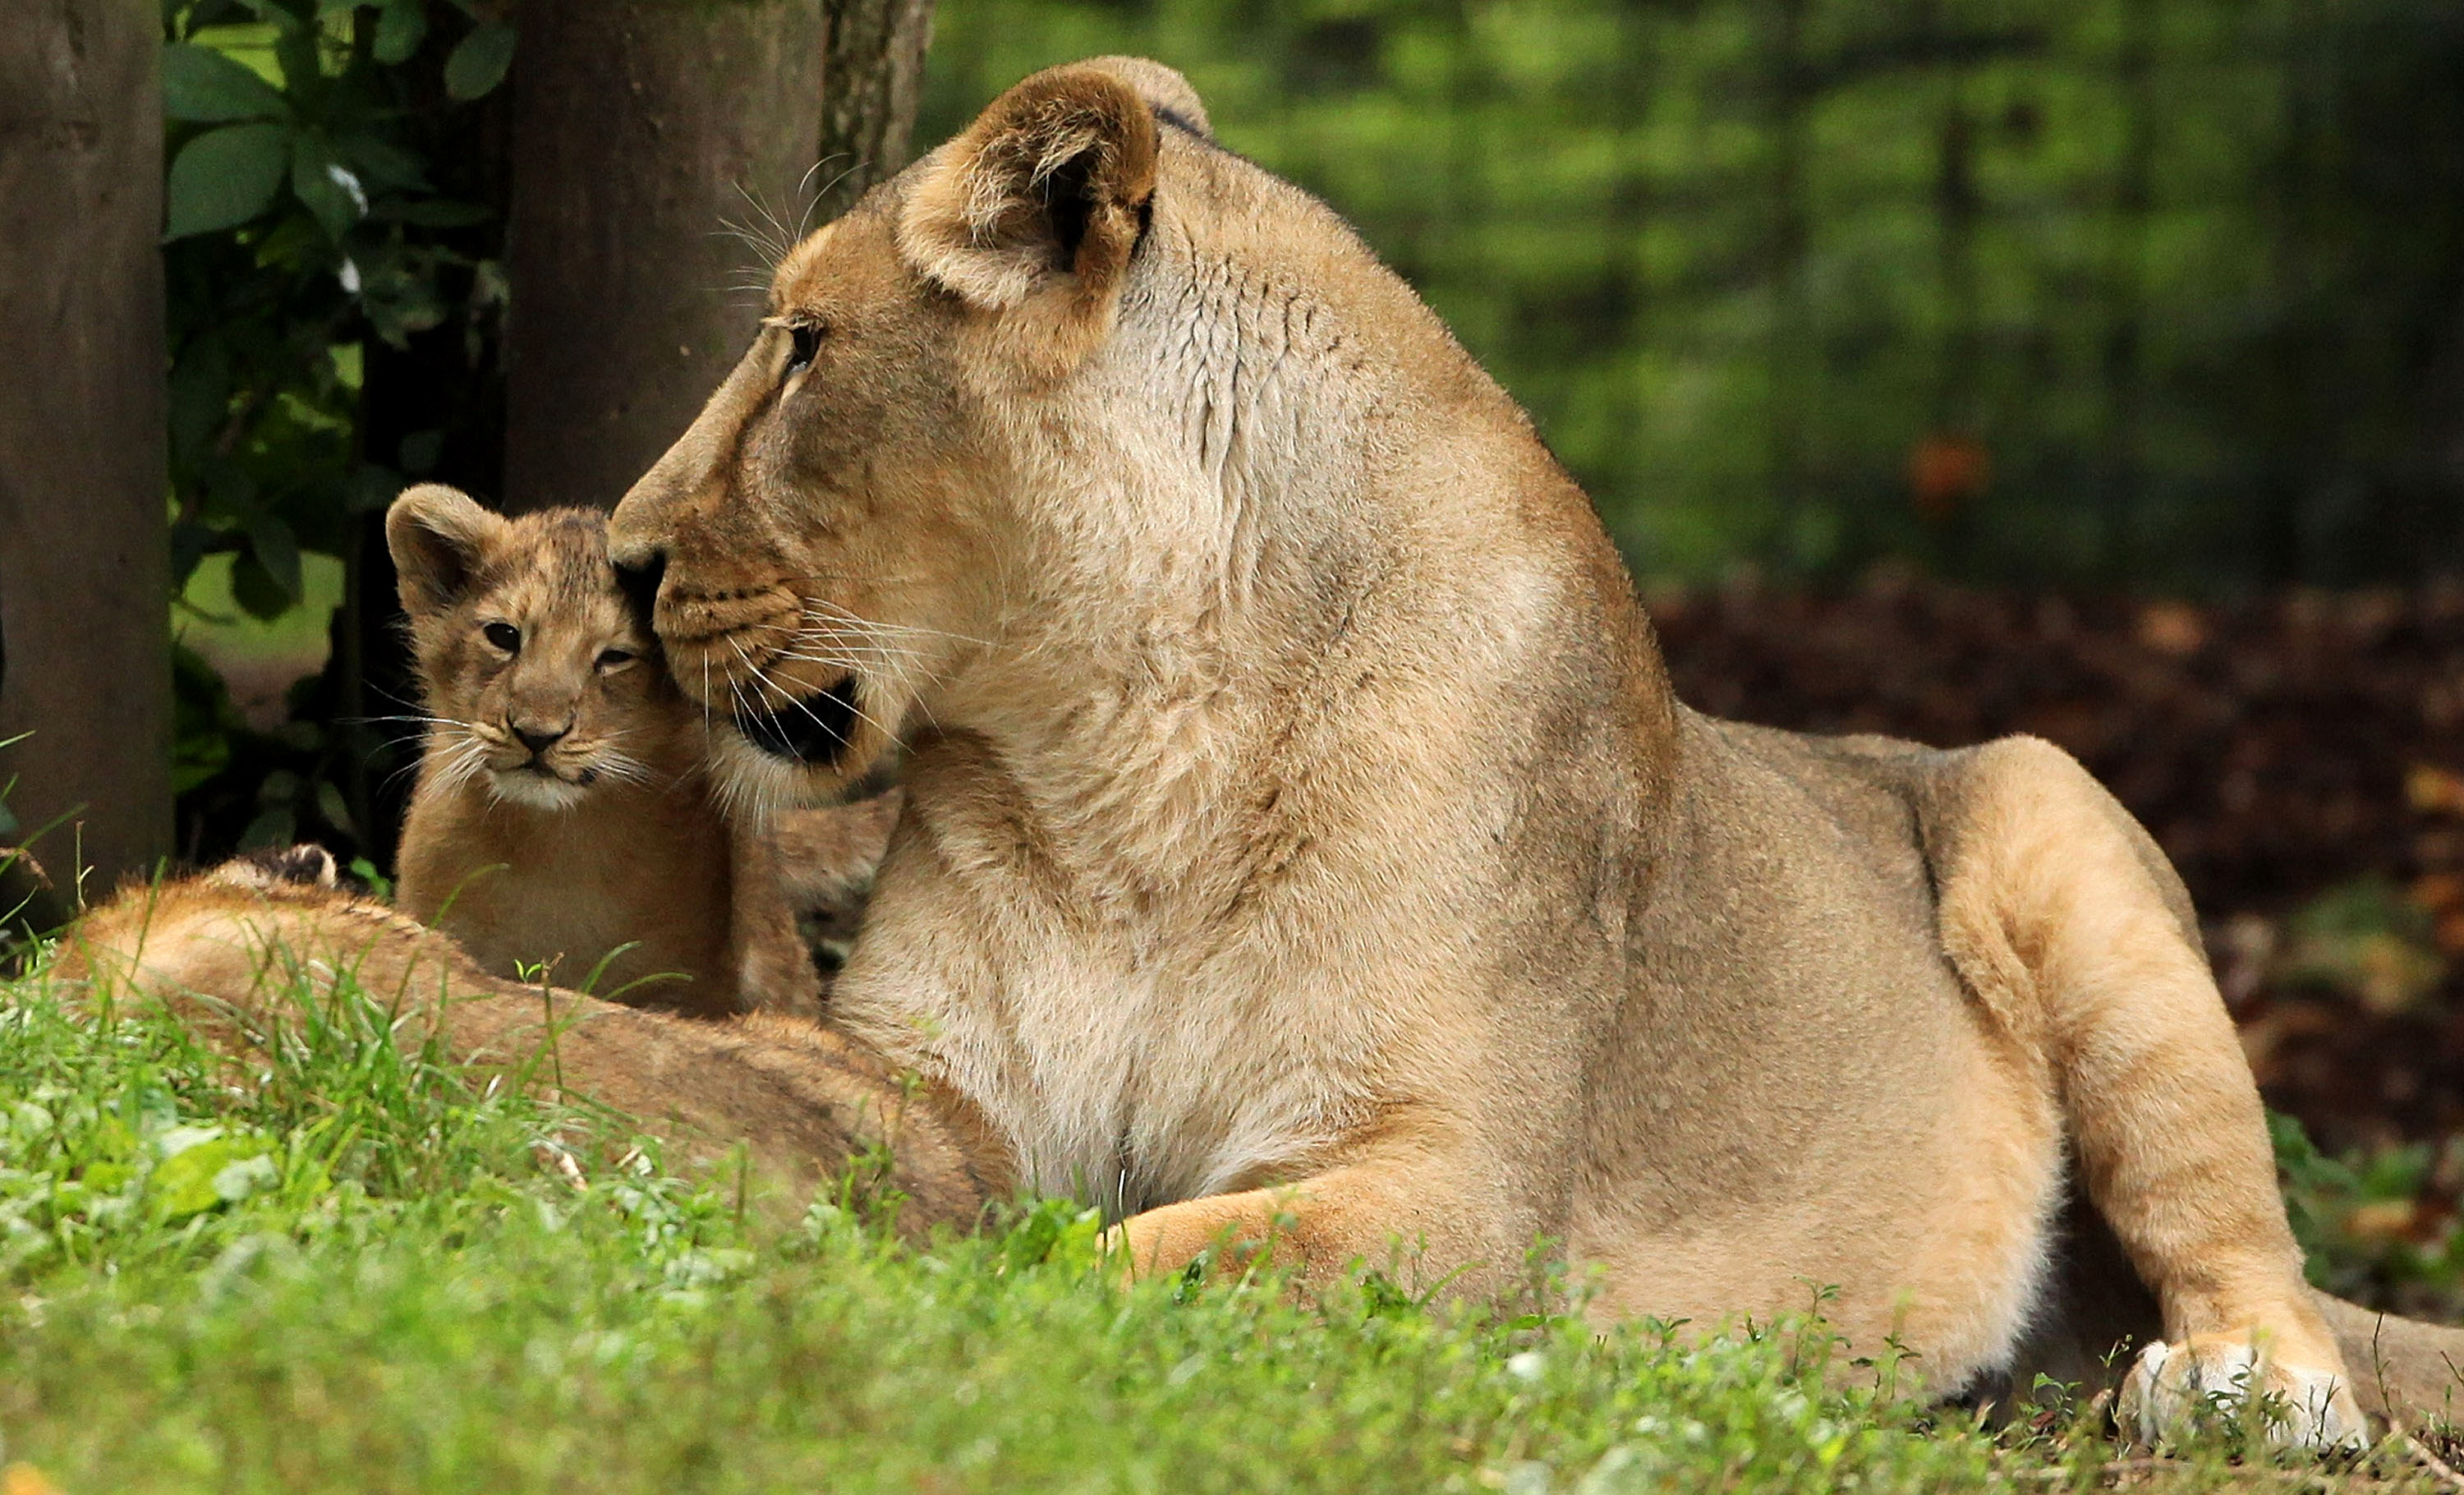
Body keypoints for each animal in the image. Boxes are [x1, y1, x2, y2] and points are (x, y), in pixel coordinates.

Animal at [598, 57, 2464, 1444]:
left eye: (805, 349)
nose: (617, 554)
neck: (1122, 751)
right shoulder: (944, 1081)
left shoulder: (1449, 1187)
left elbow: (1114, 1264)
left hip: (2051, 808)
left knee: (2244, 1237)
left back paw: (2244, 1383)